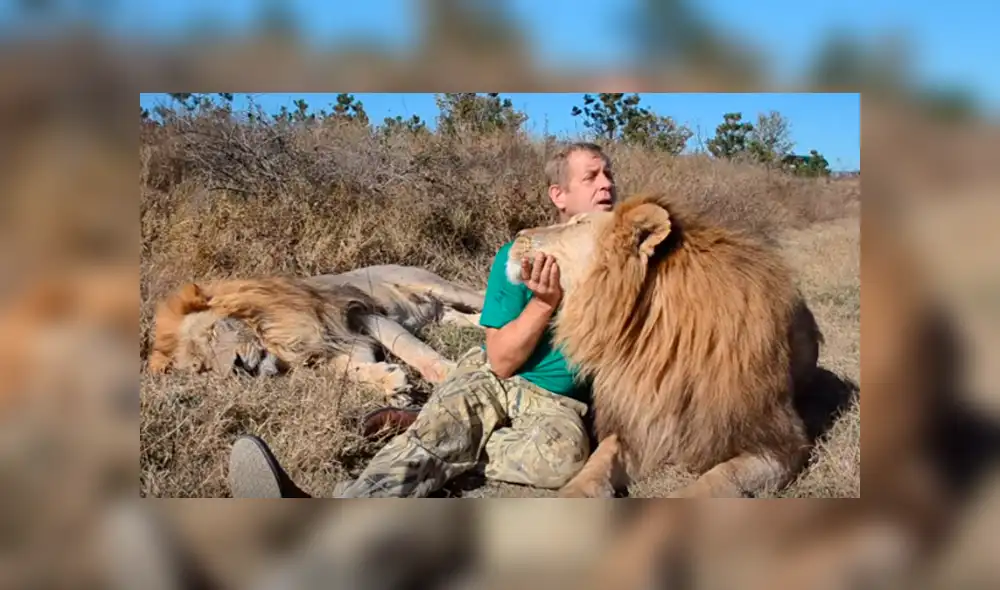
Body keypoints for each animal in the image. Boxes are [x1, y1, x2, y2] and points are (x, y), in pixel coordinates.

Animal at [147, 265, 486, 399]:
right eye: (202, 368)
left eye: (214, 333)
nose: (238, 367)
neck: (277, 338)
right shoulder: (330, 349)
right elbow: (351, 371)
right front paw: (391, 383)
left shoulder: (361, 312)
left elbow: (412, 349)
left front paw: (453, 375)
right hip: (444, 315)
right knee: (473, 317)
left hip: (439, 287)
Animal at [504, 191, 823, 498]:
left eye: (580, 223)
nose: (518, 235)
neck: (653, 337)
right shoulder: (638, 425)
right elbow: (597, 462)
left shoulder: (780, 442)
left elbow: (716, 480)